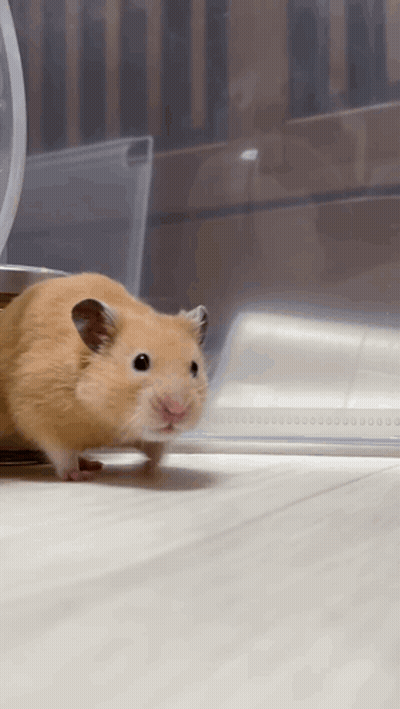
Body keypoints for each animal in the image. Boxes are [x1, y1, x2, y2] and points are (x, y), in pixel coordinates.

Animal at [0, 272, 208, 480]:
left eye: (194, 367)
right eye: (140, 362)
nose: (177, 410)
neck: (107, 420)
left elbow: (157, 449)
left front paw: (149, 471)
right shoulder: (39, 414)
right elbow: (62, 454)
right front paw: (79, 476)